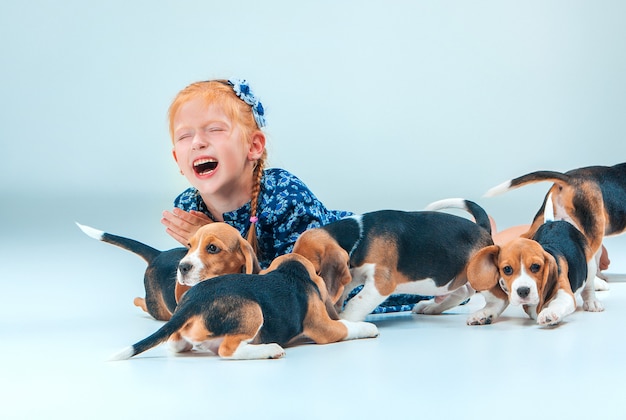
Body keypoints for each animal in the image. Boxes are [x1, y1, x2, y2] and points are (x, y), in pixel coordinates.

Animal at [77, 221, 258, 320]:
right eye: (190, 246)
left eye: (213, 248)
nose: (182, 267)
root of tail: (159, 254)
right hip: (156, 308)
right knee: (142, 303)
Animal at [109, 253, 378, 360]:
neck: (291, 270)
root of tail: (193, 300)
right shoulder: (323, 327)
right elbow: (347, 326)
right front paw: (368, 327)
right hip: (252, 310)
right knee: (227, 351)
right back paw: (270, 349)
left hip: (182, 334)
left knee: (176, 345)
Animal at [292, 199, 492, 322]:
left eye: (314, 270)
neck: (359, 235)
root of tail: (482, 228)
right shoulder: (353, 274)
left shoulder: (381, 282)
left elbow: (357, 301)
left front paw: (345, 319)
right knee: (463, 291)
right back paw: (432, 307)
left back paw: (483, 315)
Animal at [466, 195, 604, 326]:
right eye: (507, 269)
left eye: (536, 267)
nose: (522, 291)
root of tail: (552, 222)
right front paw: (482, 314)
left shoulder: (564, 293)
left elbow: (557, 303)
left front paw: (549, 313)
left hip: (590, 264)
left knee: (588, 286)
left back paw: (592, 302)